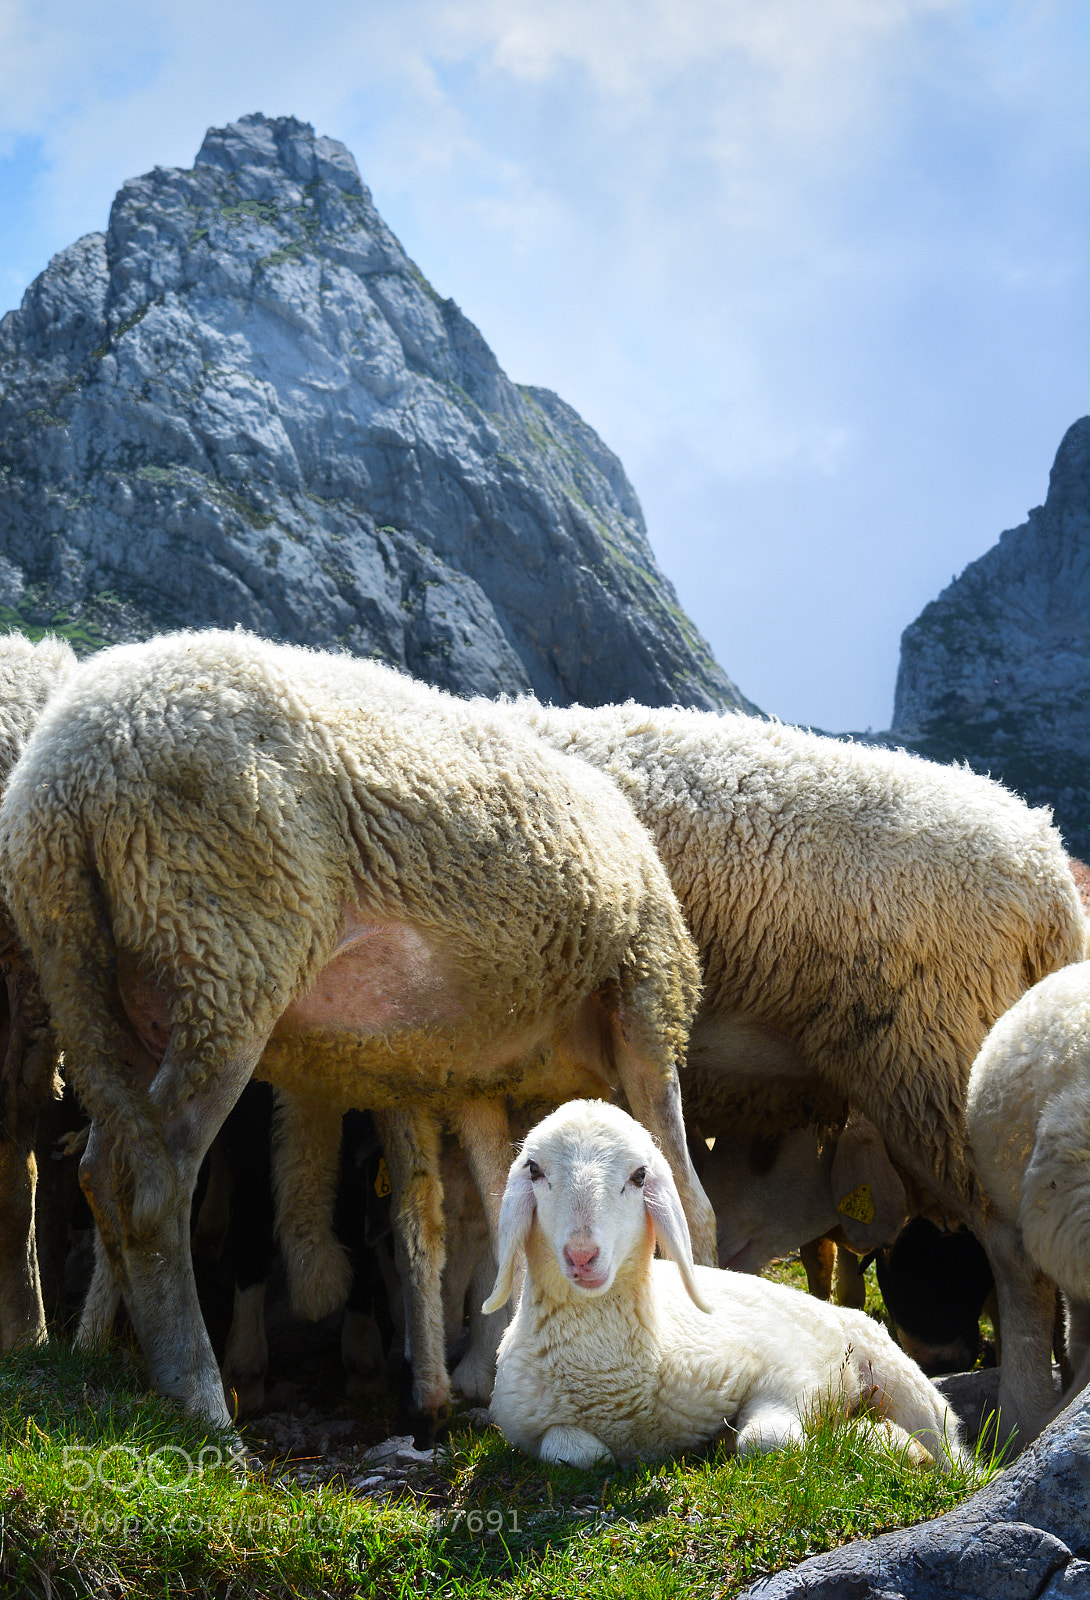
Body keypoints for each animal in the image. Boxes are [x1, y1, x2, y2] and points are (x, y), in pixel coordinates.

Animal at [0, 628, 714, 1429]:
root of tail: (71, 768)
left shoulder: (443, 1068)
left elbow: (493, 1211)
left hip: (98, 988)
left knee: (100, 1168)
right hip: (225, 958)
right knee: (154, 1186)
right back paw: (200, 1395)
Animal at [485, 1099, 968, 1471]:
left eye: (639, 1176)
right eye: (534, 1169)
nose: (582, 1255)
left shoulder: (786, 1373)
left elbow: (766, 1441)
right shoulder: (526, 1428)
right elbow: (577, 1452)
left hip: (899, 1378)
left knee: (949, 1446)